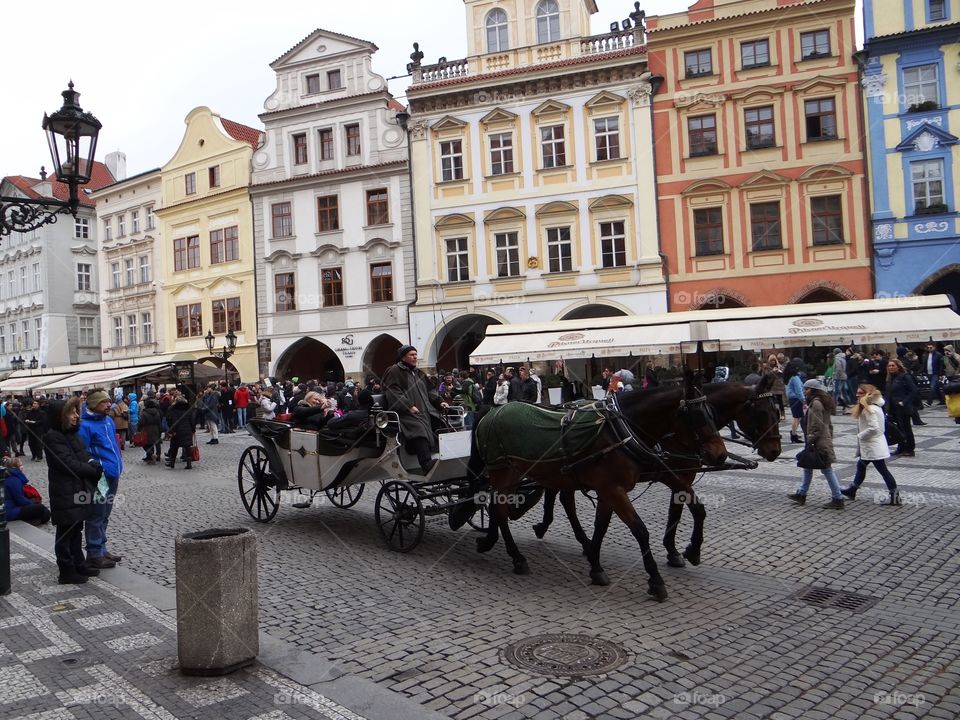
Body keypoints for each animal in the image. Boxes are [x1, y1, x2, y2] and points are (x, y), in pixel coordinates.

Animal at [464, 382, 728, 600]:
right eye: (697, 416)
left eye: (712, 413)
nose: (721, 455)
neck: (619, 430)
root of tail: (491, 412)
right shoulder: (614, 490)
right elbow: (640, 531)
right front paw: (655, 580)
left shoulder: (613, 487)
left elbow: (602, 526)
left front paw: (595, 564)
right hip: (504, 474)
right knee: (499, 509)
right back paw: (516, 557)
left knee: (509, 506)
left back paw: (496, 541)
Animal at [532, 374, 780, 572]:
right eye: (761, 412)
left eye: (777, 411)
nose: (775, 450)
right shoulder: (670, 474)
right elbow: (695, 510)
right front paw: (689, 551)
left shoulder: (683, 475)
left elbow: (678, 511)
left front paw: (675, 551)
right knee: (562, 499)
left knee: (559, 496)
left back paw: (557, 531)